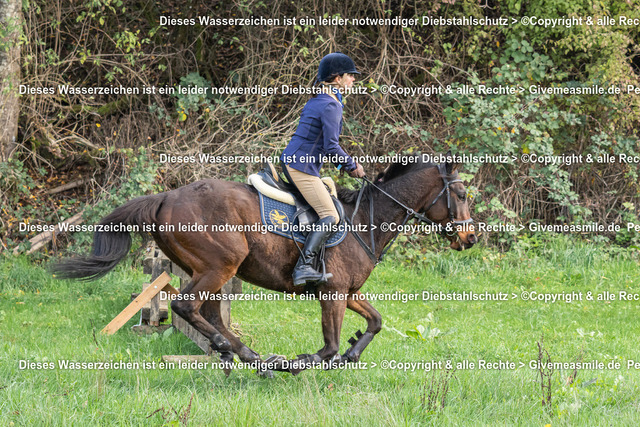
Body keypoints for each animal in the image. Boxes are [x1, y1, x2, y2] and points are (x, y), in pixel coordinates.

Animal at [53, 154, 477, 375]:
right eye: (459, 193)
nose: (471, 238)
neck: (364, 221)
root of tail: (165, 197)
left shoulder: (348, 291)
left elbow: (375, 321)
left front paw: (353, 352)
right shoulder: (332, 292)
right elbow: (328, 346)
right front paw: (301, 362)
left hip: (211, 270)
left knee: (207, 313)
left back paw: (241, 354)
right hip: (219, 264)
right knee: (186, 306)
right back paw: (244, 354)